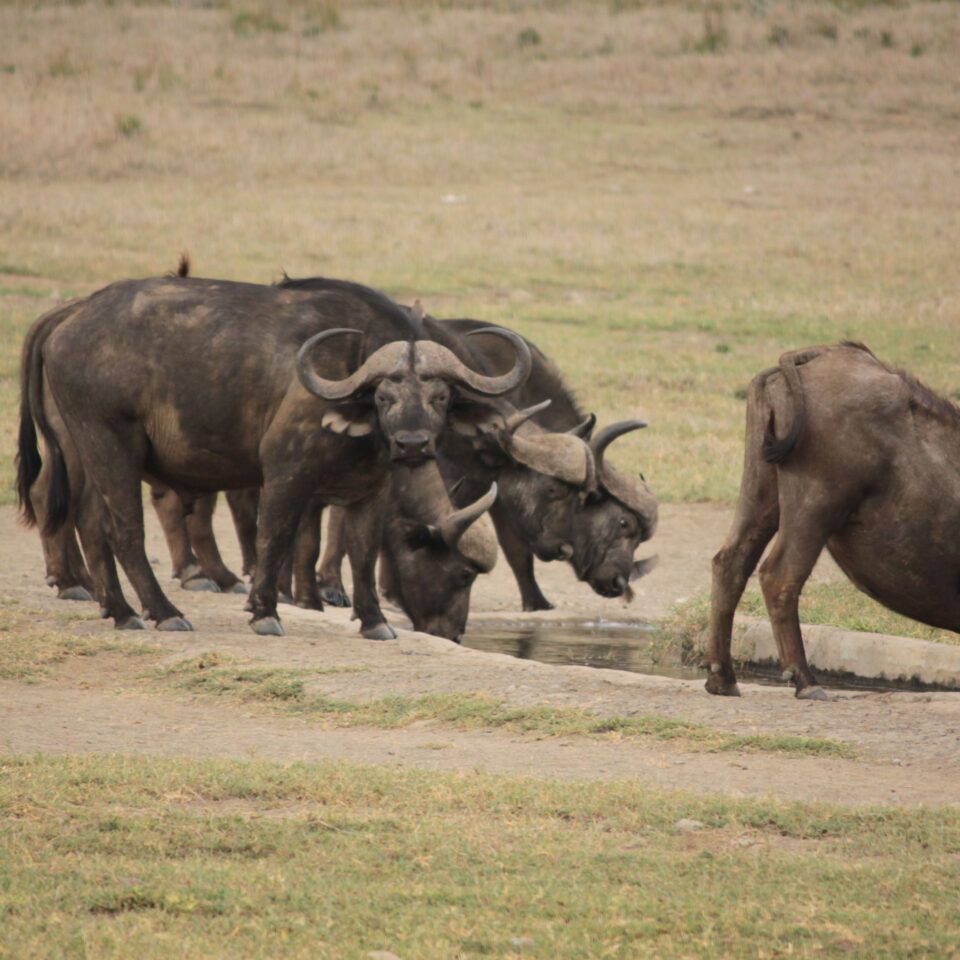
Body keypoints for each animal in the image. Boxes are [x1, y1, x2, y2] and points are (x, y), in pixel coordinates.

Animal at [18, 276, 532, 636]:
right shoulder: (286, 476)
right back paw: (161, 611)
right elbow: (277, 539)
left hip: (78, 450)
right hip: (111, 445)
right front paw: (266, 610)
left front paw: (374, 621)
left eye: (440, 397)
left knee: (85, 520)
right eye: (384, 396)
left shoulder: (371, 490)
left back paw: (116, 607)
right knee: (123, 531)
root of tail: (71, 314)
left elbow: (361, 551)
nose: (412, 444)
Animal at [704, 344, 960, 696]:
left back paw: (722, 678)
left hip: (761, 487)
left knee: (730, 562)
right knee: (779, 576)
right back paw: (805, 680)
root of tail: (827, 352)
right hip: (814, 505)